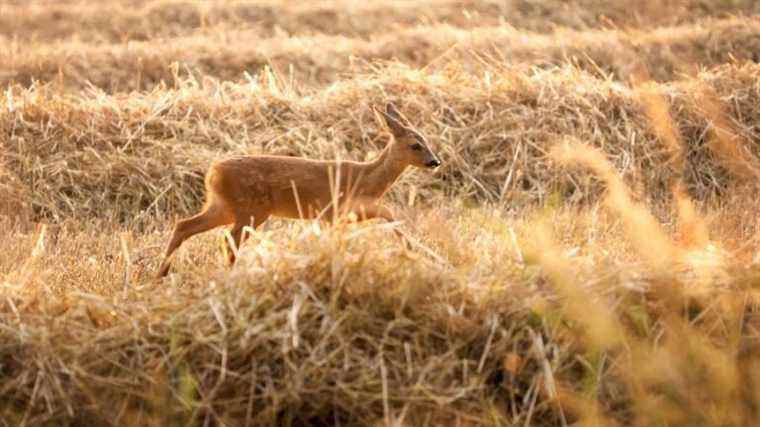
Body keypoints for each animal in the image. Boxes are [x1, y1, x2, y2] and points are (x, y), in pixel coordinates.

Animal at [157, 103, 442, 278]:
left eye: (426, 141)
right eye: (415, 145)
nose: (435, 161)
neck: (367, 180)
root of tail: (212, 174)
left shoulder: (346, 214)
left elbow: (389, 214)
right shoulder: (334, 209)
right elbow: (390, 213)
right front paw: (415, 250)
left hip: (224, 207)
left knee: (184, 225)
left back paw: (161, 273)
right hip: (250, 209)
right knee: (227, 240)